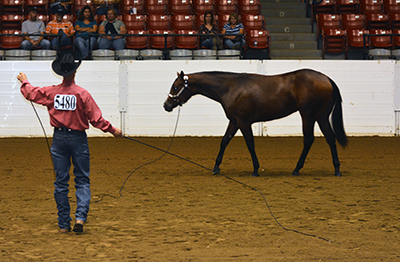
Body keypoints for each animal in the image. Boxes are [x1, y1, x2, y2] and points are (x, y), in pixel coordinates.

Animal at [162, 69, 346, 176]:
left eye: (176, 87)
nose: (166, 105)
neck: (230, 87)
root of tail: (326, 79)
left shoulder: (244, 122)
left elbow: (250, 143)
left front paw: (256, 169)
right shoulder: (234, 121)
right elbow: (224, 141)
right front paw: (216, 168)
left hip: (308, 116)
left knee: (309, 139)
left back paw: (297, 169)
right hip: (321, 117)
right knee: (330, 138)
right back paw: (336, 169)